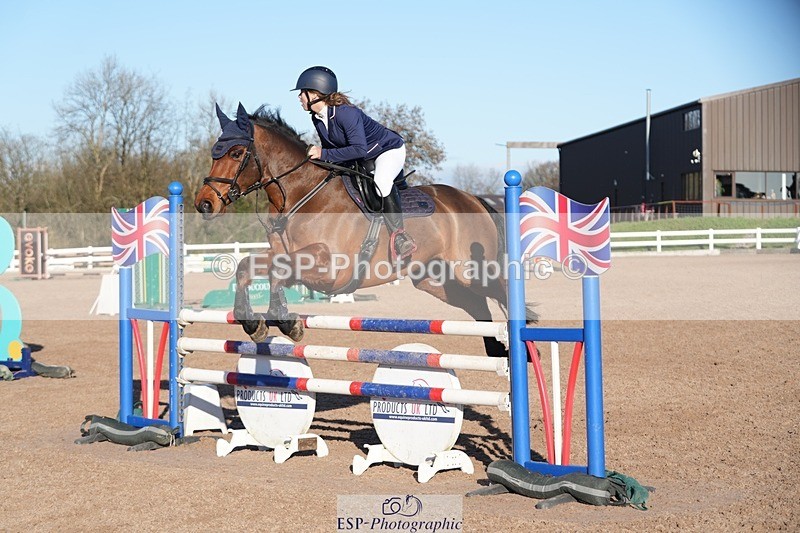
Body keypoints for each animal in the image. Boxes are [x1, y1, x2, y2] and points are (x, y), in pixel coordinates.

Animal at [195, 104, 528, 356]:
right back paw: (496, 350)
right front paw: (255, 324)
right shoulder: (285, 256)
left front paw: (288, 323)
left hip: (473, 270)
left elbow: (278, 272)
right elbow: (246, 267)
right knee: (478, 306)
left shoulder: (330, 268)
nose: (204, 203)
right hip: (437, 280)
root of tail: (473, 198)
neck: (303, 195)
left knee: (500, 293)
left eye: (236, 153)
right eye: (214, 152)